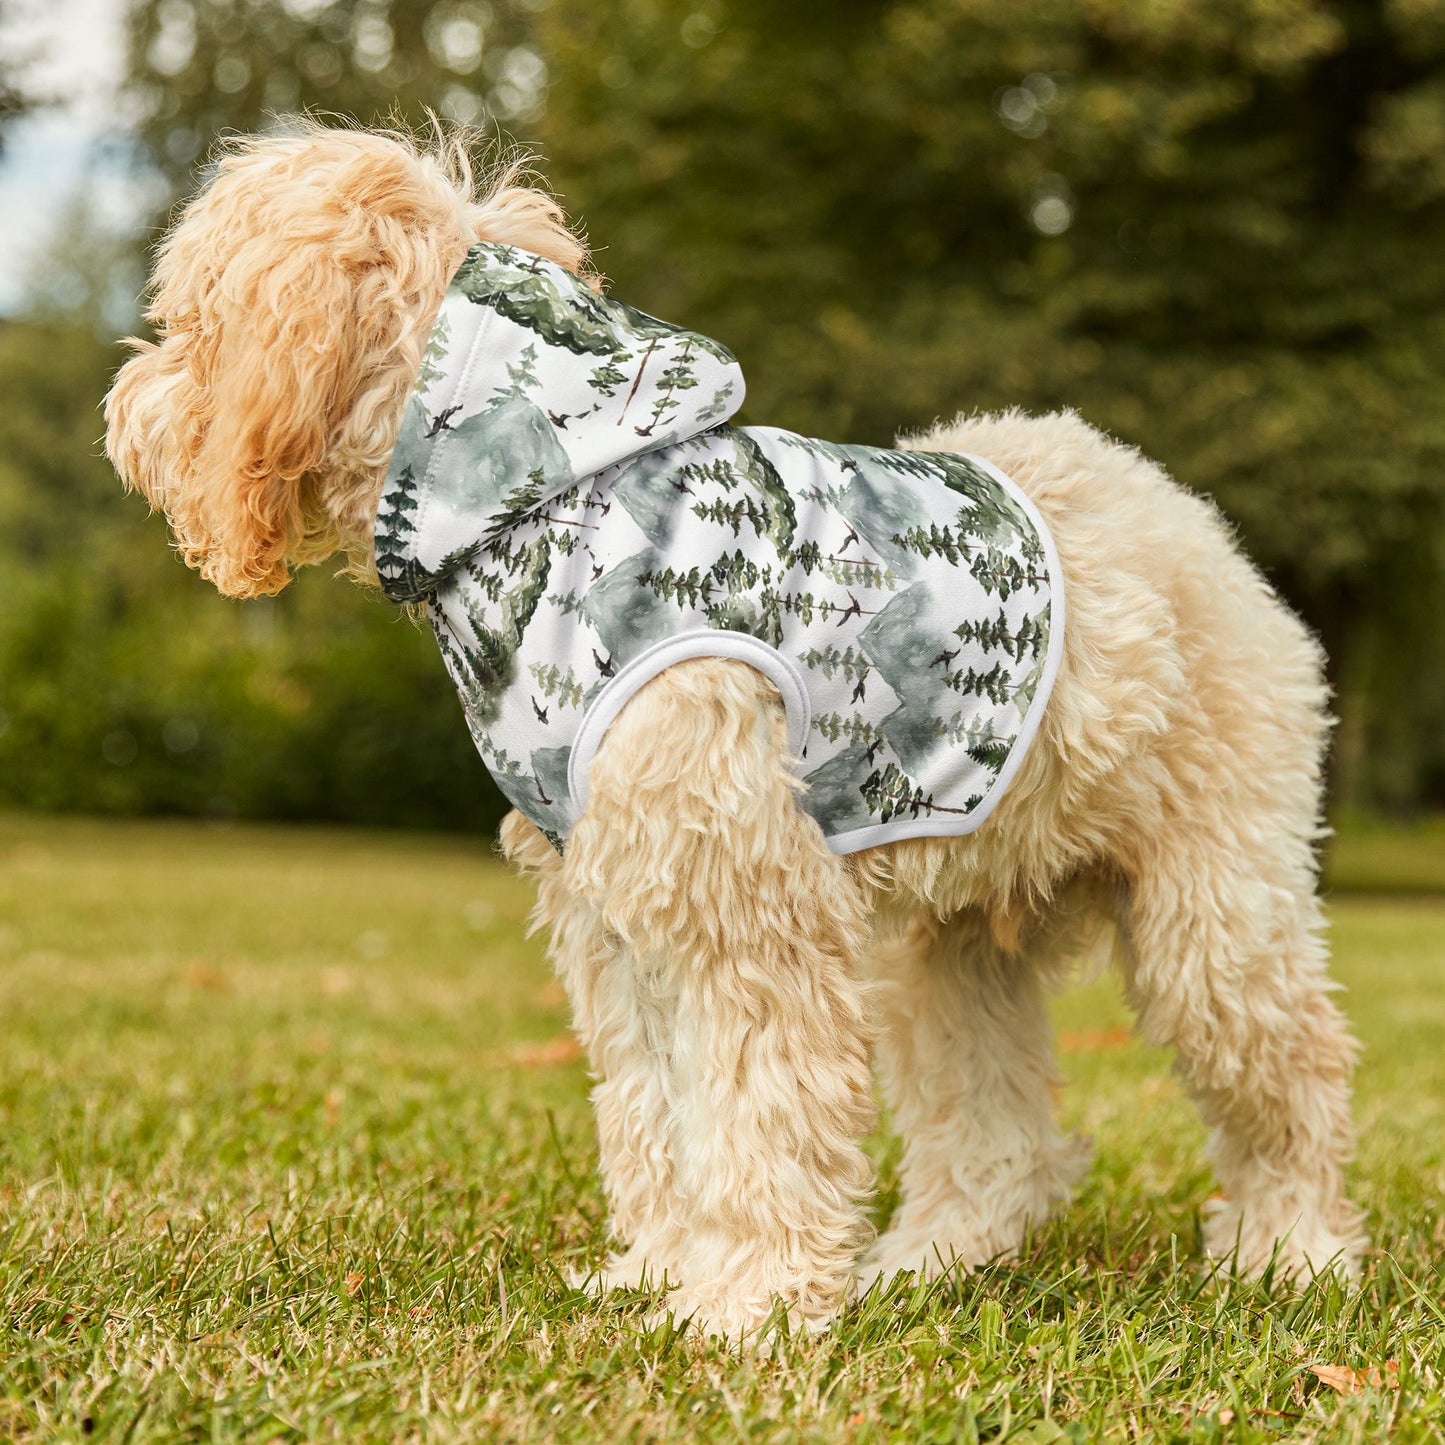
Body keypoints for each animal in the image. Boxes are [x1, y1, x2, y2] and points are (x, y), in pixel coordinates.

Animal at [104, 124, 1364, 1340]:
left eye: (190, 320)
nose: (124, 407)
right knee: (995, 1134)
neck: (548, 502)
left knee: (1292, 1074)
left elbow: (759, 1110)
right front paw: (661, 1274)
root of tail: (1185, 517)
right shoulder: (618, 914)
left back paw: (1290, 1252)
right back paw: (928, 1261)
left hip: (1212, 914)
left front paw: (747, 1305)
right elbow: (656, 1112)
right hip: (948, 949)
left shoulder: (744, 904)